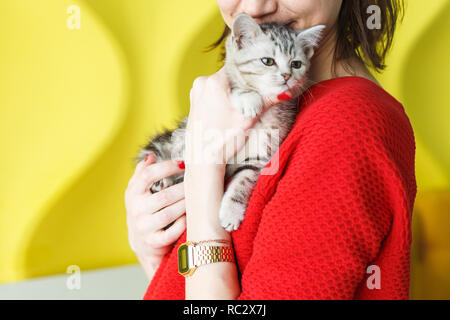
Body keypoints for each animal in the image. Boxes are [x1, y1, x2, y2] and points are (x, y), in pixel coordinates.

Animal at [134, 13, 324, 231]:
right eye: (268, 61)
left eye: (296, 64)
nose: (286, 76)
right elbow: (237, 88)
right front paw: (249, 99)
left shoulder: (259, 157)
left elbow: (242, 182)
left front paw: (231, 213)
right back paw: (162, 181)